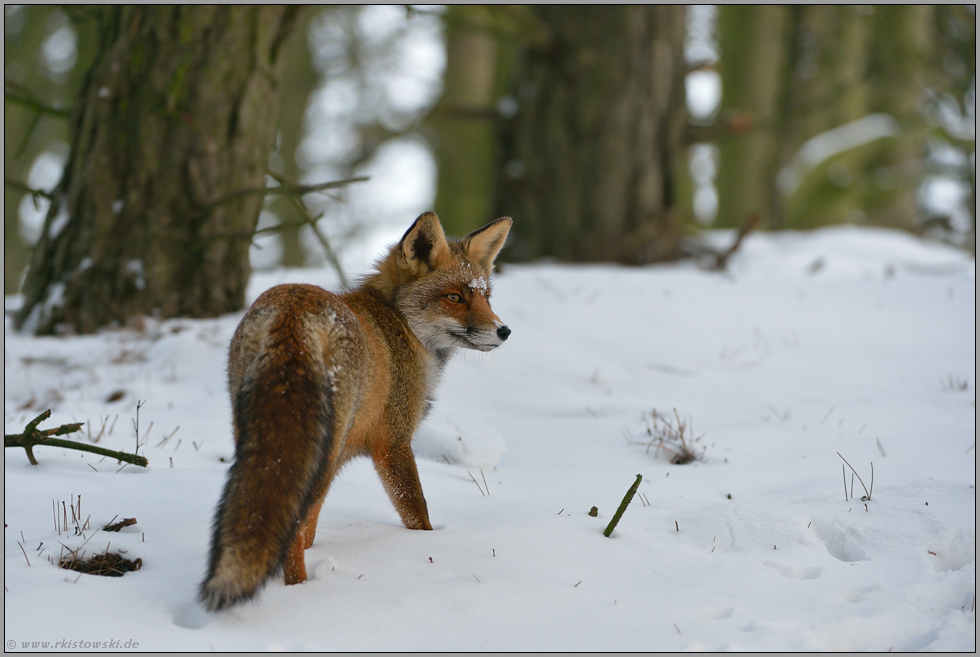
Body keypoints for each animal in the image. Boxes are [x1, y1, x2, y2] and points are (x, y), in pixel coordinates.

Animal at [199, 212, 512, 611]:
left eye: (485, 296)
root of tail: (292, 311)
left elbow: (312, 529)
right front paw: (428, 547)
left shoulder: (339, 457)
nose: (503, 331)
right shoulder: (392, 442)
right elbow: (416, 510)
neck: (399, 325)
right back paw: (301, 590)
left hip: (267, 442)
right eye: (454, 297)